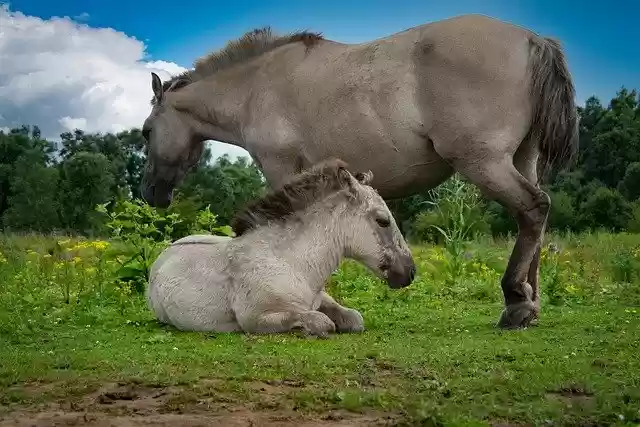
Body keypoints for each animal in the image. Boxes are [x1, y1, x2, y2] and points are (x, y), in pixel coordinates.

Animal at [146, 159, 416, 337]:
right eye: (382, 220)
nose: (410, 271)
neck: (290, 262)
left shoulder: (321, 299)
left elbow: (354, 319)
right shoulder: (255, 319)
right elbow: (322, 323)